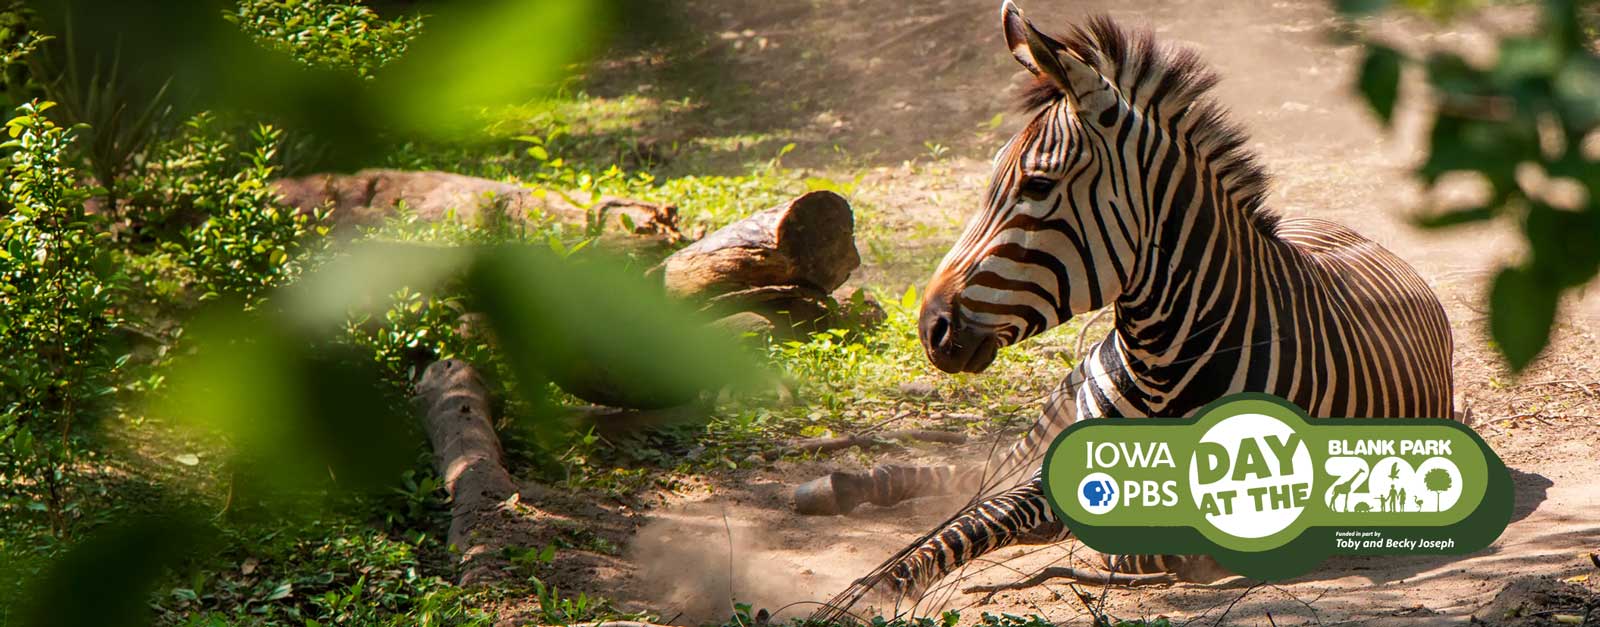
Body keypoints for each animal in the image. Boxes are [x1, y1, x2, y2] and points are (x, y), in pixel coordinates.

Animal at [807, 2, 1455, 615]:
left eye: (1037, 186)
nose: (931, 327)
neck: (1161, 360)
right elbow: (966, 525)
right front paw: (862, 594)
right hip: (1061, 400)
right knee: (980, 478)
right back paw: (842, 485)